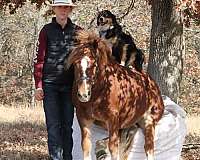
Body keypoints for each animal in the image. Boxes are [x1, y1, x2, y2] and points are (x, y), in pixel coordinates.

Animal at [65, 30, 164, 160]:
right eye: (75, 63)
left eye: (94, 64)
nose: (83, 94)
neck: (100, 93)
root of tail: (152, 84)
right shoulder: (83, 118)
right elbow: (87, 146)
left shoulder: (113, 121)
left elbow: (113, 148)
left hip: (148, 121)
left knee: (149, 148)